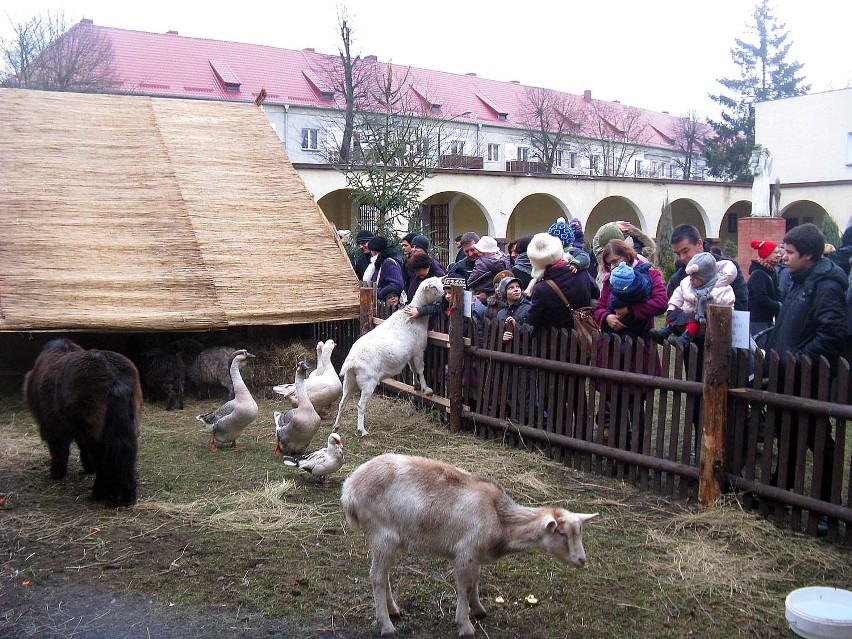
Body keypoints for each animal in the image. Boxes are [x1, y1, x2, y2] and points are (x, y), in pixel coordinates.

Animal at [24, 338, 143, 508]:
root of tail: (115, 379)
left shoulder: (55, 430)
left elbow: (60, 452)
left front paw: (56, 473)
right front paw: (87, 468)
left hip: (96, 436)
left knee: (103, 463)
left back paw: (99, 493)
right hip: (127, 430)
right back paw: (127, 495)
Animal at [330, 278, 442, 438]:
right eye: (435, 288)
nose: (443, 297)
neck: (415, 318)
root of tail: (352, 361)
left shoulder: (411, 353)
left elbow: (413, 369)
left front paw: (416, 385)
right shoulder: (419, 350)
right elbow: (420, 370)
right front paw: (427, 389)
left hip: (349, 380)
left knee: (342, 402)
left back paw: (336, 426)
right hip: (368, 382)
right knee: (360, 405)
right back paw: (361, 430)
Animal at [342, 452, 600, 636]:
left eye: (580, 531)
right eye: (563, 533)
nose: (582, 560)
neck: (501, 520)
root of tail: (349, 489)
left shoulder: (476, 554)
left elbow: (475, 582)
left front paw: (478, 610)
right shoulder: (465, 552)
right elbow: (464, 586)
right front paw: (465, 624)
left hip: (384, 539)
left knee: (383, 574)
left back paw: (394, 611)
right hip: (382, 533)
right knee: (376, 576)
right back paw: (386, 625)